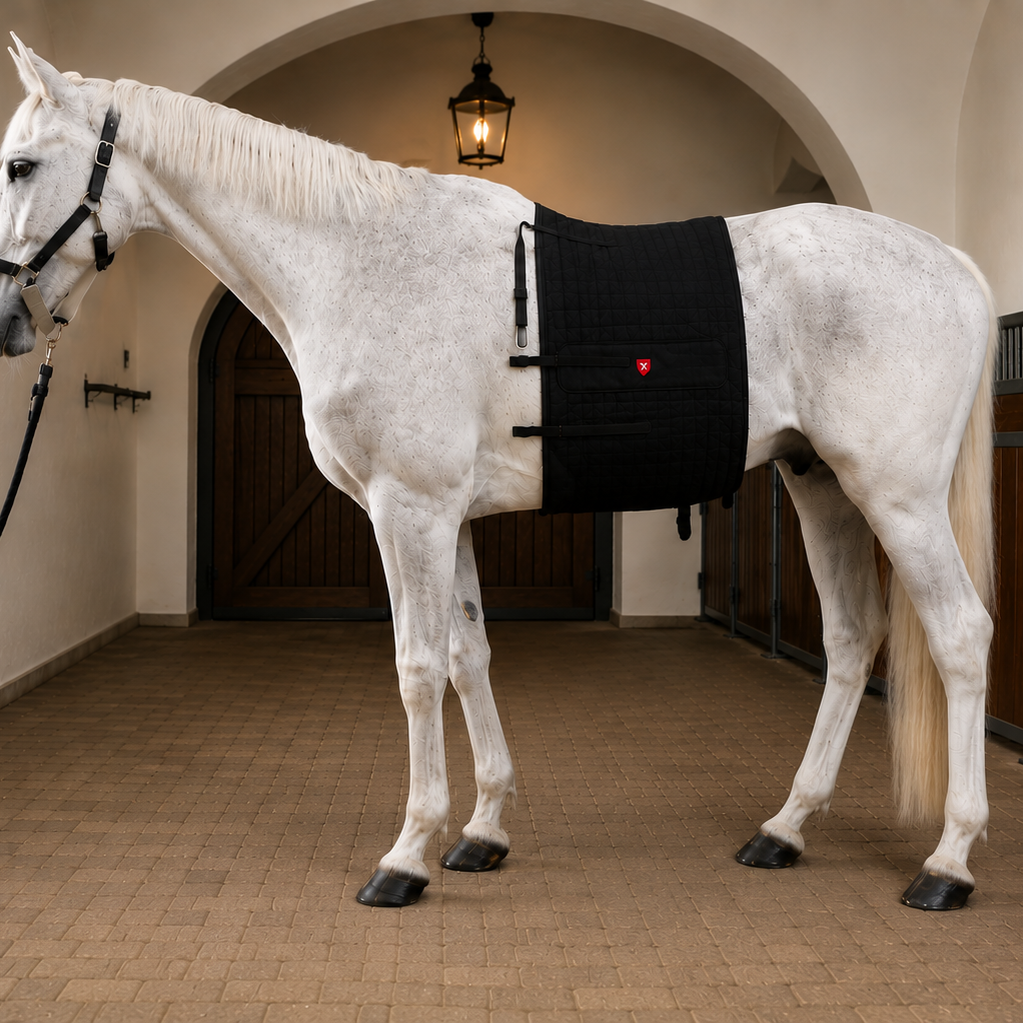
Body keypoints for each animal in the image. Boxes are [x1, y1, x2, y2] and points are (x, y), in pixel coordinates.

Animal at [0, 38, 997, 911]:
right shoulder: (450, 517)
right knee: (850, 639)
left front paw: (406, 855)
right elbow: (466, 656)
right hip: (818, 483)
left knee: (958, 634)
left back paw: (946, 862)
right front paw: (480, 832)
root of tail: (954, 265)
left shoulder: (408, 510)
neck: (362, 261)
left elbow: (415, 667)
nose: (9, 316)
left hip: (896, 499)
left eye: (18, 165)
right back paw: (784, 828)